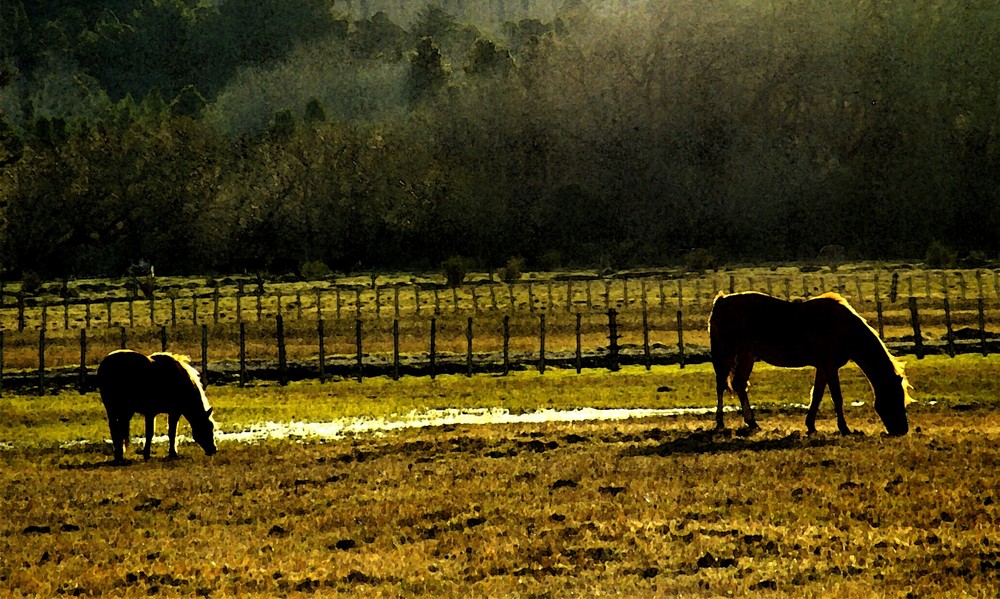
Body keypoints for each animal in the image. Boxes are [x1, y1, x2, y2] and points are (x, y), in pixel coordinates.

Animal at [708, 292, 912, 436]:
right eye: (895, 397)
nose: (902, 430)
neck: (843, 327)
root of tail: (721, 301)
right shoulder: (830, 367)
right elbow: (837, 397)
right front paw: (844, 428)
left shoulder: (823, 368)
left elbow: (817, 396)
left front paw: (811, 426)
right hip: (726, 355)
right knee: (721, 386)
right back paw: (720, 424)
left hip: (747, 356)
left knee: (739, 385)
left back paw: (752, 423)